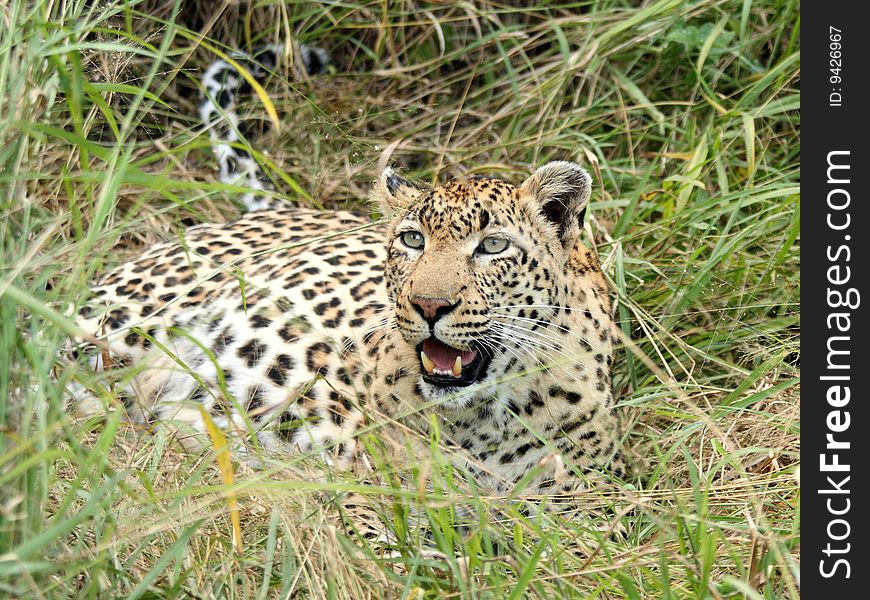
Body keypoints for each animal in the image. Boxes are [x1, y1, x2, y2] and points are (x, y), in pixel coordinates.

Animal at [73, 45, 628, 524]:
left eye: (493, 246)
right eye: (412, 239)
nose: (429, 305)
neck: (486, 420)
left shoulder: (603, 501)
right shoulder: (366, 481)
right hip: (120, 319)